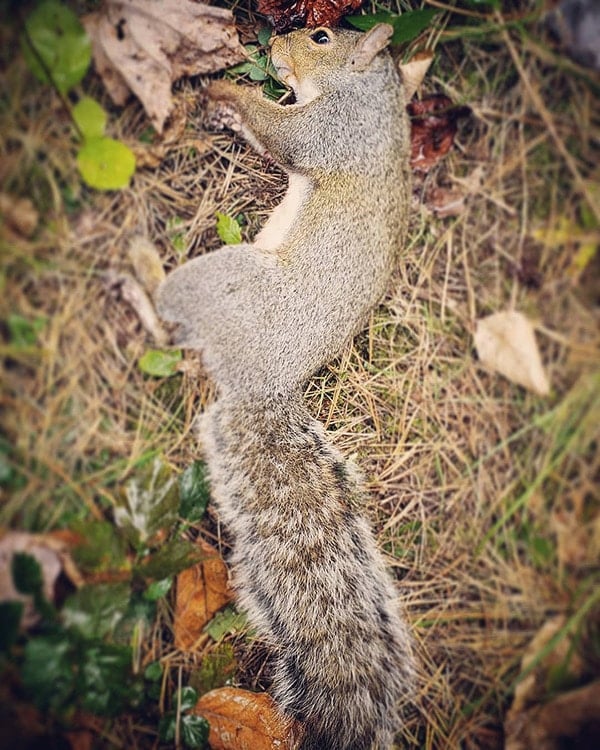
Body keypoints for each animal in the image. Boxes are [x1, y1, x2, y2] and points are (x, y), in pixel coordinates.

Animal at [157, 23, 414, 750]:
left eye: (321, 34)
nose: (274, 42)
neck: (377, 98)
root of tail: (265, 384)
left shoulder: (333, 129)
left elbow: (279, 130)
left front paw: (224, 92)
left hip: (231, 279)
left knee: (170, 313)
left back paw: (136, 271)